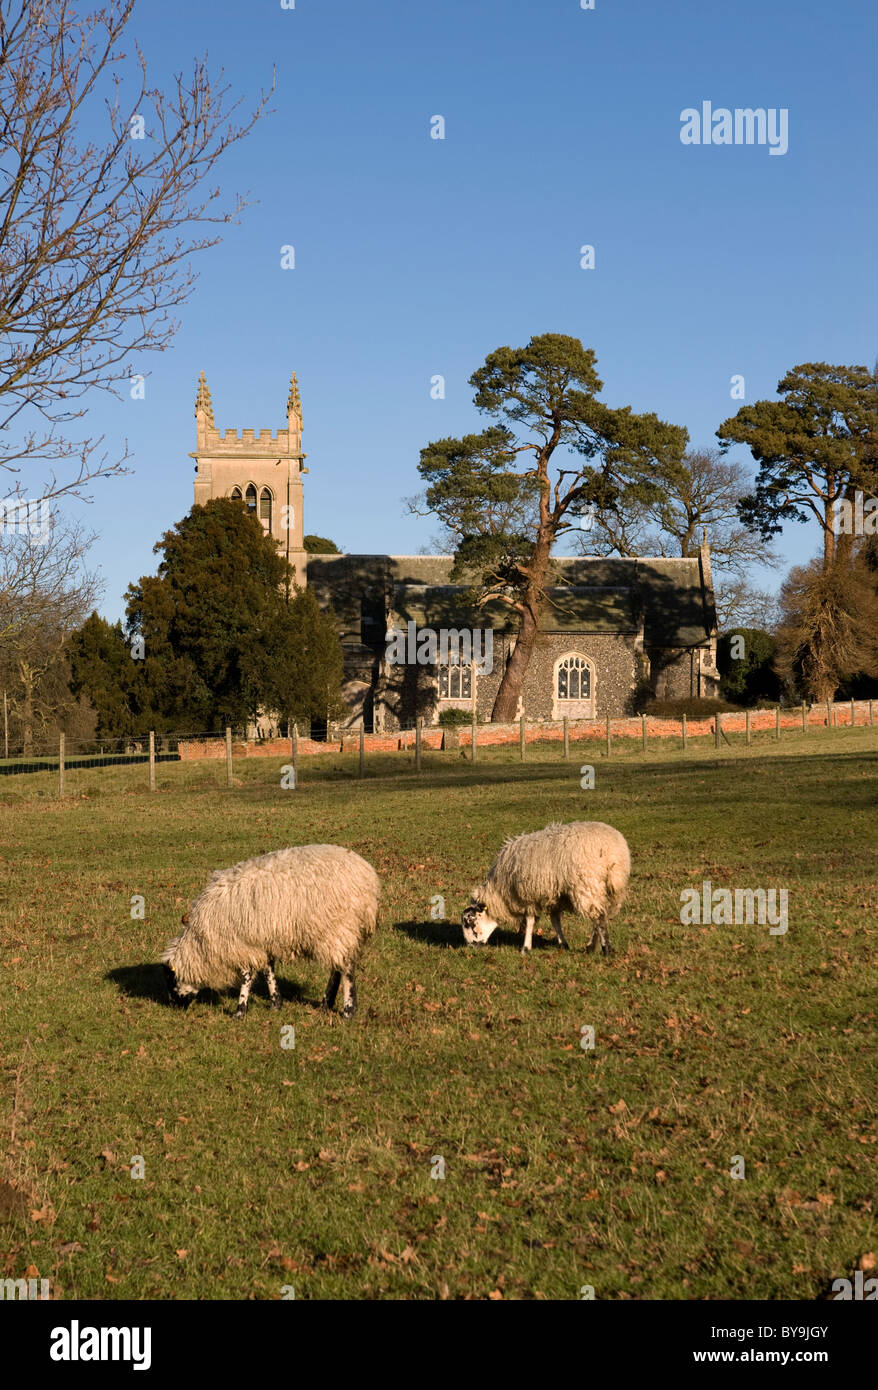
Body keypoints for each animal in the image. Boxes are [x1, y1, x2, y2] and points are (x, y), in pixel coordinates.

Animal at [161, 839, 380, 1017]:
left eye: (171, 979)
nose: (173, 1006)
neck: (202, 943)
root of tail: (368, 879)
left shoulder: (243, 943)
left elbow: (247, 976)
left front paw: (240, 1010)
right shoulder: (260, 941)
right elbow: (268, 970)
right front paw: (276, 1002)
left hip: (339, 926)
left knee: (347, 969)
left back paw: (348, 1010)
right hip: (334, 933)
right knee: (337, 967)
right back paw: (326, 1004)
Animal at [458, 822, 630, 956]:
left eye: (470, 923)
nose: (470, 947)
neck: (500, 892)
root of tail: (613, 853)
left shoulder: (527, 897)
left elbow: (530, 922)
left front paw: (525, 948)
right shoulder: (554, 897)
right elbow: (555, 921)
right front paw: (563, 944)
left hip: (587, 884)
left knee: (599, 918)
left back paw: (606, 950)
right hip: (608, 890)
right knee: (601, 915)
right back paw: (590, 947)